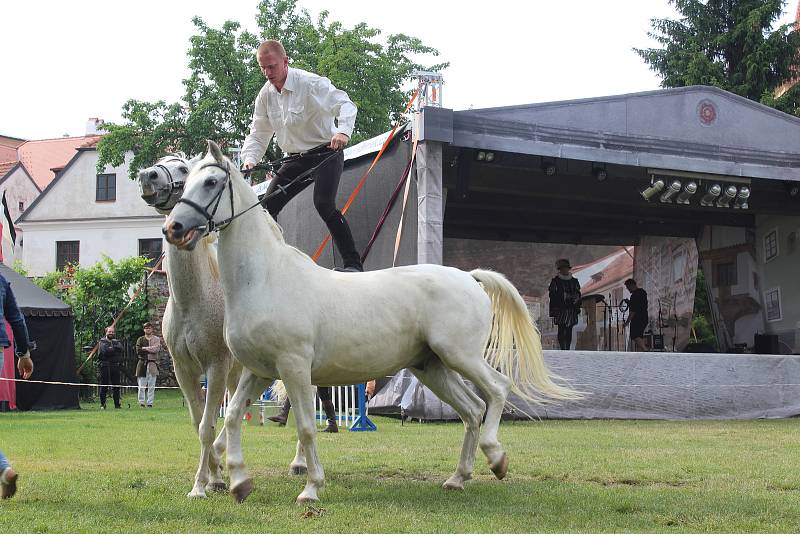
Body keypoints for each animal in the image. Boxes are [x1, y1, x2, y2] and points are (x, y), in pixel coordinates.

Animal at [139, 157, 242, 500]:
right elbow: (198, 423)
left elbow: (207, 427)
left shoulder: (216, 367)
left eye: (184, 169)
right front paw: (213, 477)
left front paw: (201, 485)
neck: (193, 301)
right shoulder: (184, 371)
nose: (147, 176)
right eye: (159, 162)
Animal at [162, 142, 580, 506]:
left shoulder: (293, 368)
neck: (265, 278)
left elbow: (306, 427)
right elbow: (231, 418)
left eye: (210, 182)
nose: (173, 228)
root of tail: (469, 277)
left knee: (497, 389)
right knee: (472, 410)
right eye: (185, 181)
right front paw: (238, 482)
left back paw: (496, 457)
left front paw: (310, 489)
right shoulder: (259, 371)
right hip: (432, 367)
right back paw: (457, 478)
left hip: (460, 356)